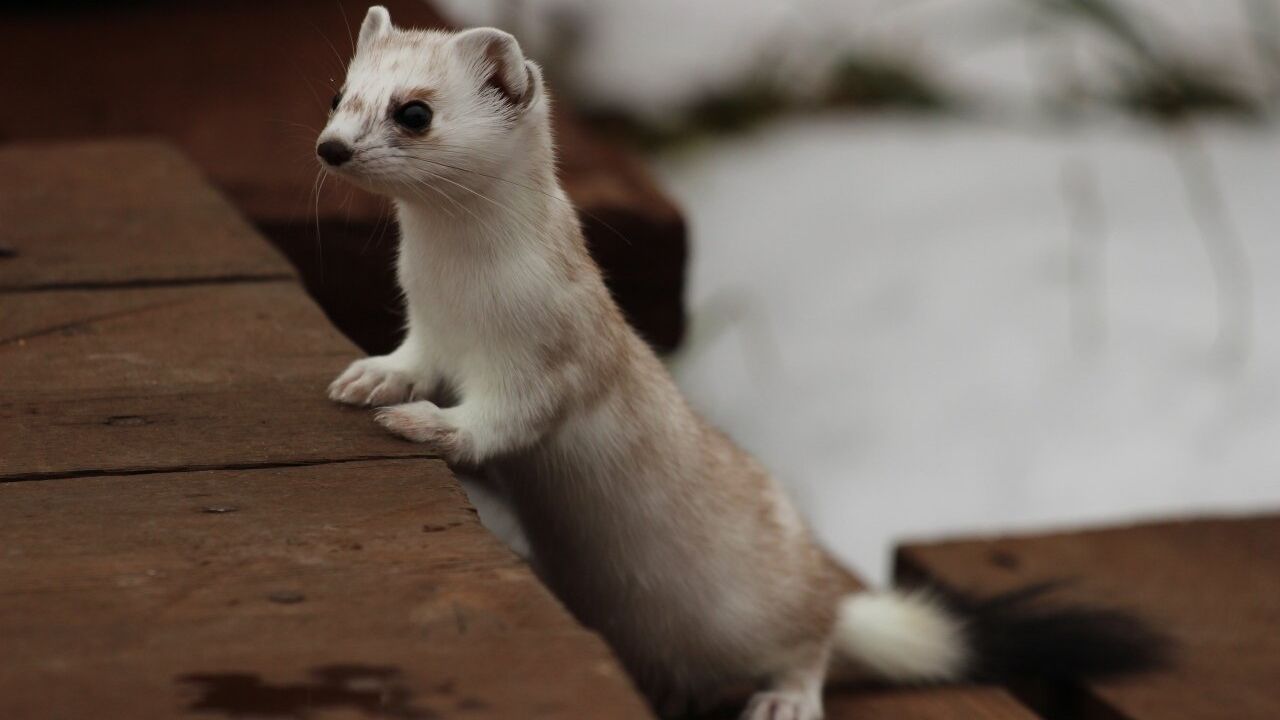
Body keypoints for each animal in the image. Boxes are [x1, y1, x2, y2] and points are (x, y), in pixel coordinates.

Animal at [314, 8, 1167, 712]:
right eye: (339, 95)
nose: (331, 147)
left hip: (765, 610)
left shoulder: (553, 357)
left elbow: (500, 422)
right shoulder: (427, 326)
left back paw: (784, 699)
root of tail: (820, 584)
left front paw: (425, 422)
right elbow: (410, 358)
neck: (460, 296)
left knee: (813, 644)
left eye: (415, 111)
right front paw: (372, 377)